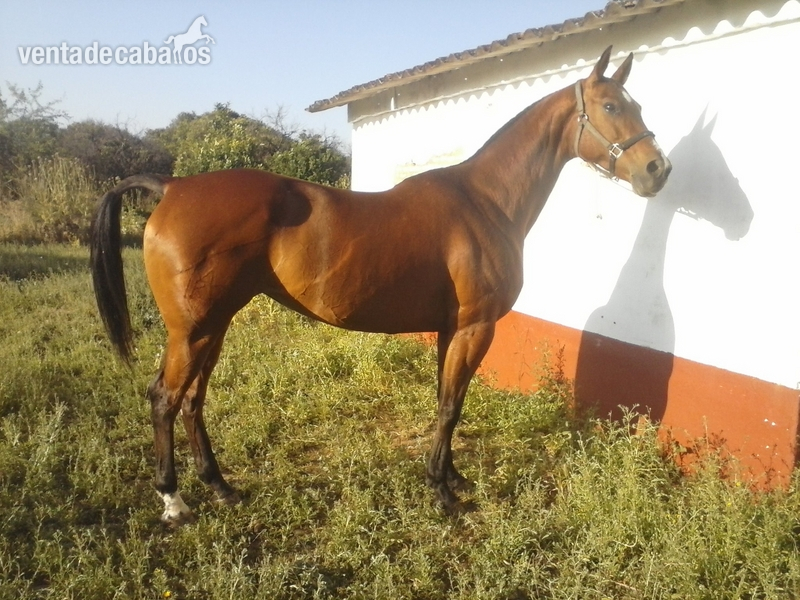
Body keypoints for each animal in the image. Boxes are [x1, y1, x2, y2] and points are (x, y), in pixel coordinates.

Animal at [91, 46, 671, 525]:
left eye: (640, 105)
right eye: (612, 107)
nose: (657, 170)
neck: (484, 200)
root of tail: (172, 187)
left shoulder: (451, 330)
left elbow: (447, 398)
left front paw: (452, 476)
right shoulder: (475, 327)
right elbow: (450, 406)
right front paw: (442, 493)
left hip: (215, 325)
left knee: (193, 400)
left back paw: (221, 488)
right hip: (193, 330)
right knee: (165, 398)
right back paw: (174, 502)